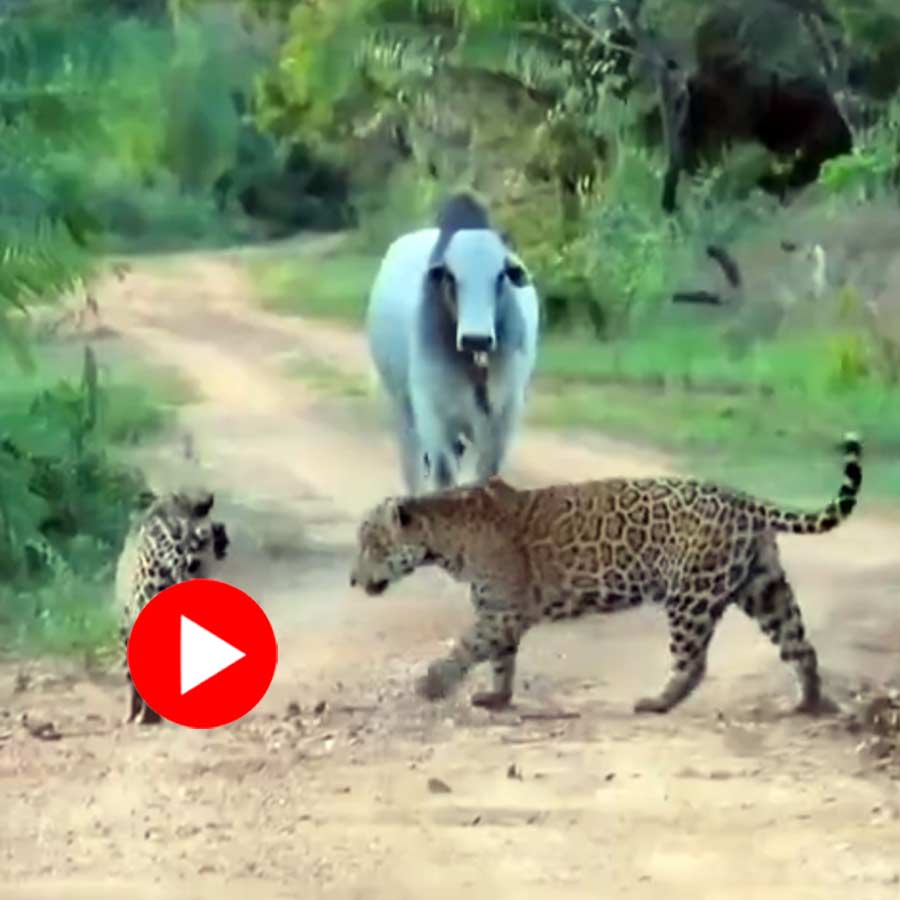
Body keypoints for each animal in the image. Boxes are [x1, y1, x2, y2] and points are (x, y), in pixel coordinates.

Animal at [349, 432, 862, 716]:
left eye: (371, 545)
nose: (352, 581)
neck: (445, 534)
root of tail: (744, 500)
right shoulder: (500, 611)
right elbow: (501, 660)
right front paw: (495, 697)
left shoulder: (501, 611)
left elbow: (466, 647)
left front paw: (432, 684)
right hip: (762, 586)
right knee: (800, 645)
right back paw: (810, 703)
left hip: (690, 597)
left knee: (693, 661)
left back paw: (656, 703)